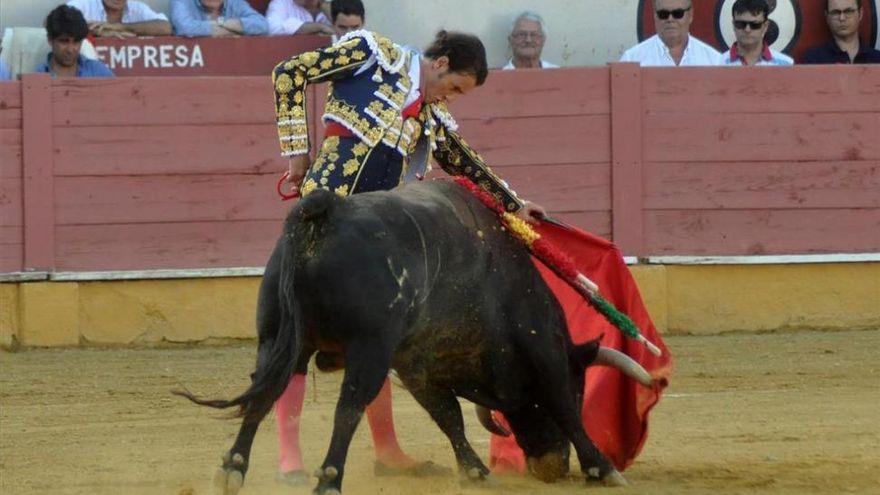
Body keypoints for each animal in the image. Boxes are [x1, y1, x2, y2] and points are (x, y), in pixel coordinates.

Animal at [177, 180, 640, 494]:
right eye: (582, 387)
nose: (552, 468)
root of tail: (326, 208)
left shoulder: (417, 364)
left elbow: (447, 414)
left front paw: (474, 469)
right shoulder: (543, 349)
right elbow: (562, 405)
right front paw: (603, 468)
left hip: (278, 338)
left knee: (264, 394)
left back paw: (233, 468)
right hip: (368, 348)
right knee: (348, 407)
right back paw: (328, 478)